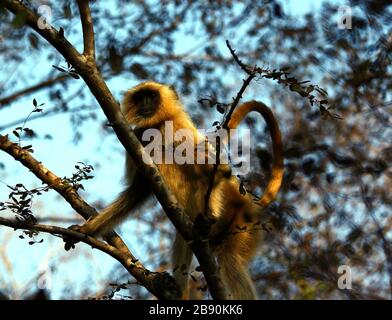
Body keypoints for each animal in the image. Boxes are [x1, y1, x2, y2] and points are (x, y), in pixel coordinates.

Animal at [72, 81, 284, 298]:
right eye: (140, 97)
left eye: (152, 96)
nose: (145, 103)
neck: (157, 125)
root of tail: (249, 203)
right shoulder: (137, 137)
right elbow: (139, 189)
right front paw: (87, 229)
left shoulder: (176, 126)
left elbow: (215, 170)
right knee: (186, 235)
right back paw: (176, 288)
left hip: (243, 224)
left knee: (230, 259)